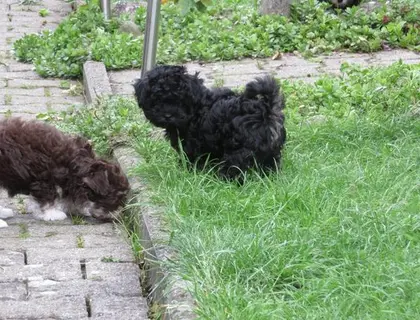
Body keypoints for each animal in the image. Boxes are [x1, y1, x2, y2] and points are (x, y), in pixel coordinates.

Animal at [133, 65, 288, 180]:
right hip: (271, 150)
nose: (167, 115)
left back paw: (225, 180)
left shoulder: (192, 145)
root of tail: (265, 111)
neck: (197, 107)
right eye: (156, 100)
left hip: (238, 149)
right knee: (270, 163)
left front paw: (187, 172)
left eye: (180, 101)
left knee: (234, 167)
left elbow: (191, 159)